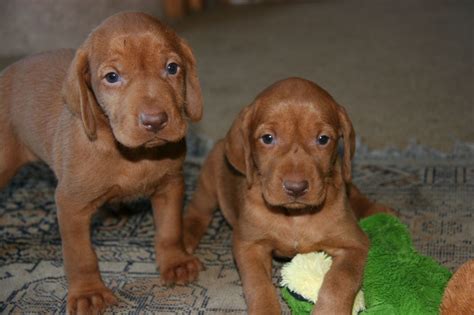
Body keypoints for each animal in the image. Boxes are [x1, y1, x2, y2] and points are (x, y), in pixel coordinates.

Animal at [0, 11, 202, 314]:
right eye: (112, 77)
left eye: (172, 68)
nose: (155, 121)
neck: (132, 155)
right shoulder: (70, 204)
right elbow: (80, 254)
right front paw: (88, 292)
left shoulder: (171, 184)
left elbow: (170, 229)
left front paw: (175, 262)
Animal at [181, 78, 386, 314]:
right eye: (267, 138)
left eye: (323, 139)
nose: (296, 188)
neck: (294, 217)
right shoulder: (249, 245)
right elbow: (258, 284)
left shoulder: (355, 245)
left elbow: (339, 281)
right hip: (210, 178)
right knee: (198, 210)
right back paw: (183, 245)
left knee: (354, 190)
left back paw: (377, 208)